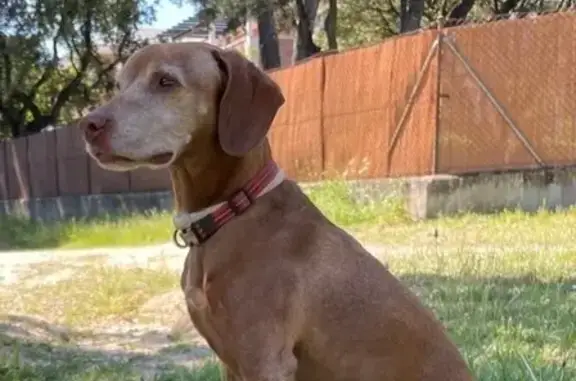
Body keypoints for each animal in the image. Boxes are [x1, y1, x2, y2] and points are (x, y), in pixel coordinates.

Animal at [80, 41, 472, 380]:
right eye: (120, 85)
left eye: (166, 81)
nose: (89, 125)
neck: (233, 210)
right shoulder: (231, 363)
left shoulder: (264, 359)